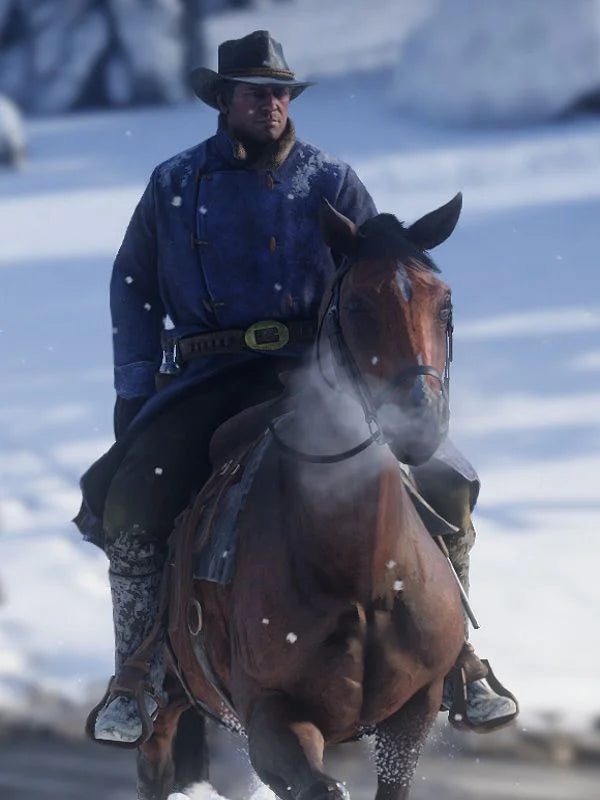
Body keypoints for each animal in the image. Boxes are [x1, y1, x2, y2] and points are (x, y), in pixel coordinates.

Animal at [138, 194, 466, 800]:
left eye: (444, 304)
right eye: (357, 304)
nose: (419, 421)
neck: (365, 577)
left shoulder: (413, 713)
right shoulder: (271, 718)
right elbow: (320, 785)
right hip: (168, 695)